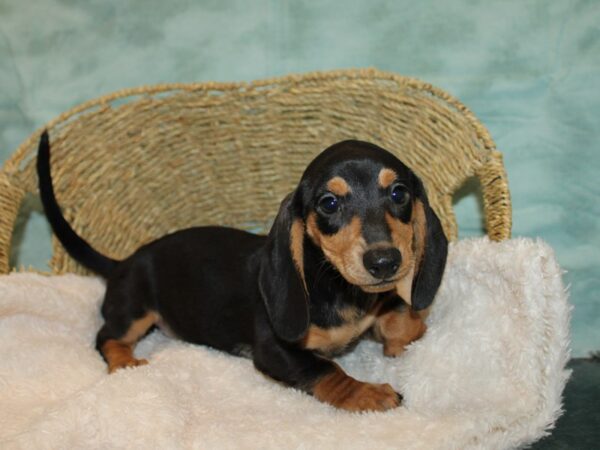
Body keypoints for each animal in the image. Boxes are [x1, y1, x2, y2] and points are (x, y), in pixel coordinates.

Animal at [37, 133, 448, 412]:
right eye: (329, 203)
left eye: (398, 193)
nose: (384, 262)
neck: (337, 287)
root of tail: (122, 262)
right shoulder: (275, 349)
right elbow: (326, 370)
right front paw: (367, 393)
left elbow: (397, 311)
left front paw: (404, 335)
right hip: (133, 309)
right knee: (107, 336)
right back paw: (125, 363)